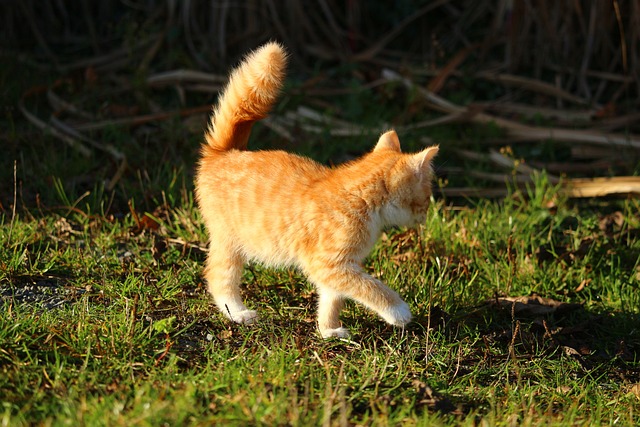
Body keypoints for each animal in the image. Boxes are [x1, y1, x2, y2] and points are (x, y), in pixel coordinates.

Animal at [195, 41, 438, 340]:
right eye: (426, 197)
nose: (426, 215)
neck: (361, 199)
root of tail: (224, 152)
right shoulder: (328, 263)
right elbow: (371, 287)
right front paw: (398, 310)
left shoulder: (336, 268)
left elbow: (331, 298)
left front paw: (328, 329)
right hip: (230, 242)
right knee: (218, 276)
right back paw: (238, 313)